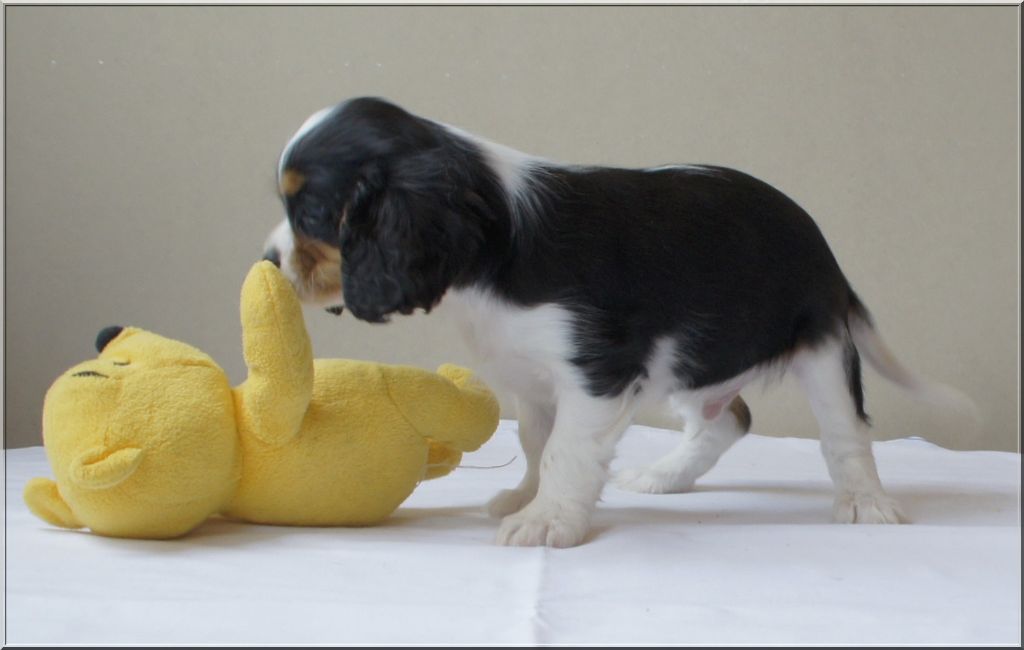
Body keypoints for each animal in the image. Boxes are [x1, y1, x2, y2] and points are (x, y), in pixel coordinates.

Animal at [260, 96, 970, 548]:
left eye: (311, 212)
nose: (267, 259)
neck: (500, 238)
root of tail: (827, 254)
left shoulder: (596, 370)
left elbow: (566, 451)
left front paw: (547, 522)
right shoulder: (536, 380)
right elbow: (537, 444)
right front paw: (527, 497)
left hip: (817, 348)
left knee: (846, 435)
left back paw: (866, 503)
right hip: (694, 359)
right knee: (729, 419)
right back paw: (665, 476)